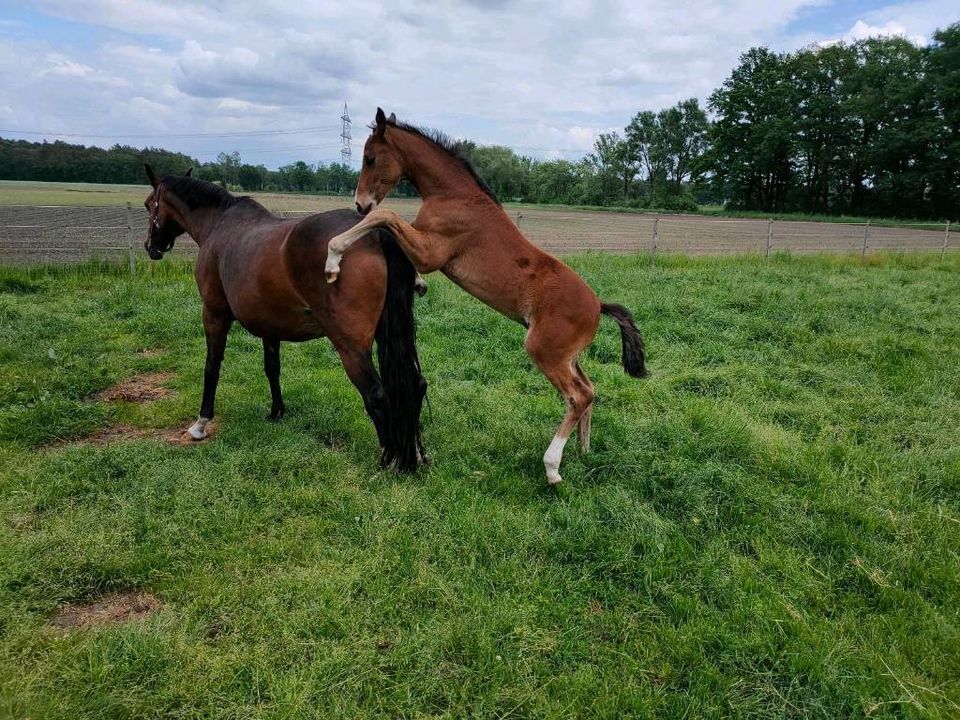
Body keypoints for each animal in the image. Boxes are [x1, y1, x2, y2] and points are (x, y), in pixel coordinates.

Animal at [142, 165, 428, 472]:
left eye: (149, 204)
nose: (150, 246)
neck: (219, 224)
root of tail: (375, 234)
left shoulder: (214, 314)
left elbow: (212, 367)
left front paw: (201, 423)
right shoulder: (270, 325)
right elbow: (272, 367)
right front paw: (276, 412)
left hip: (350, 344)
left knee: (376, 394)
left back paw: (389, 460)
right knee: (415, 384)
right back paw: (415, 454)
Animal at [326, 109, 648, 486]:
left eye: (370, 158)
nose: (360, 203)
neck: (455, 196)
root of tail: (598, 306)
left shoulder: (431, 252)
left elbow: (386, 216)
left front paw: (332, 259)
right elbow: (391, 225)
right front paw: (418, 284)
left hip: (545, 351)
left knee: (578, 396)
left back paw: (553, 467)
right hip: (569, 356)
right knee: (590, 391)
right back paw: (583, 451)